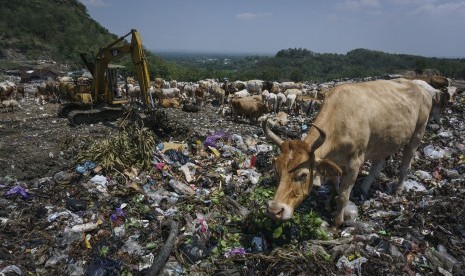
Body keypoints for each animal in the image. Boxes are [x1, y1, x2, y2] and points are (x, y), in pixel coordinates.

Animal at [260, 78, 432, 226]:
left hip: (417, 133)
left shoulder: (354, 163)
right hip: (384, 142)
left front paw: (337, 221)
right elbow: (335, 185)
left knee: (405, 164)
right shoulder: (335, 163)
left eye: (303, 175)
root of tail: (420, 88)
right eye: (277, 171)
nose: (275, 211)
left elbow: (343, 197)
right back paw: (363, 190)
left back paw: (398, 189)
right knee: (377, 166)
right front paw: (330, 203)